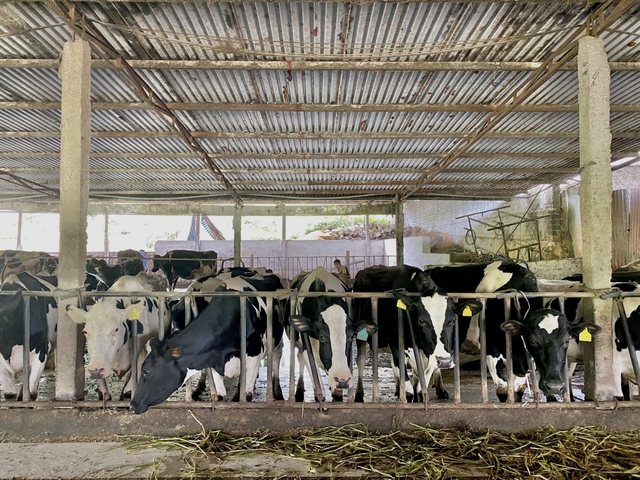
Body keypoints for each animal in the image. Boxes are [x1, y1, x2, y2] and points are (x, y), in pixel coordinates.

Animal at [130, 274, 284, 412]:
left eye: (146, 371)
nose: (132, 405)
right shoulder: (214, 361)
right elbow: (221, 397)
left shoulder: (253, 356)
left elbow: (245, 396)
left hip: (277, 342)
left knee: (277, 359)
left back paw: (278, 393)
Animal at [288, 266, 372, 402]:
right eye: (322, 337)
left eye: (351, 337)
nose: (343, 380)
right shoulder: (307, 348)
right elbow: (319, 391)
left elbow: (337, 395)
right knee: (300, 359)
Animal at [352, 264, 482, 404]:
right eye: (421, 321)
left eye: (452, 321)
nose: (445, 362)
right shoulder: (396, 345)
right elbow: (408, 388)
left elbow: (421, 387)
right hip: (360, 333)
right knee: (360, 361)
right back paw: (358, 396)